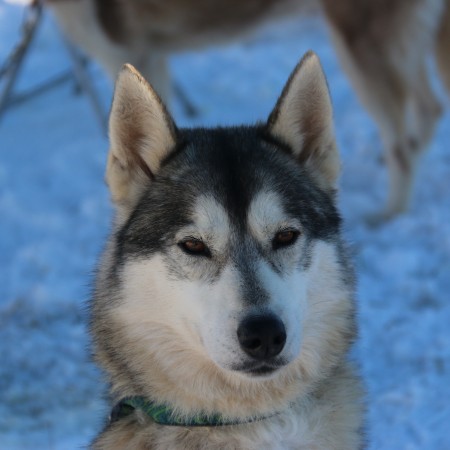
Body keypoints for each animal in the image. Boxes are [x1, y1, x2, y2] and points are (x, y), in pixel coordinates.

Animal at [47, 0, 450, 221]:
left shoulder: (125, 53)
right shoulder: (151, 60)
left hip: (361, 47)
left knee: (401, 145)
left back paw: (390, 214)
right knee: (429, 110)